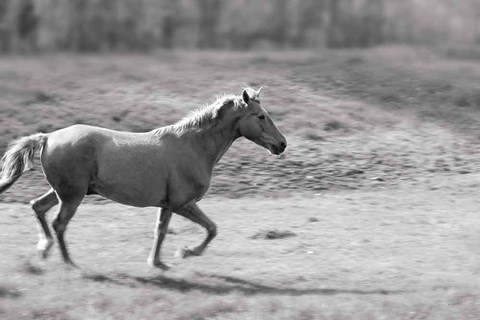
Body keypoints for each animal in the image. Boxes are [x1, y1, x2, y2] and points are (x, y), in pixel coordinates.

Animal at [0, 87, 284, 270]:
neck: (193, 146)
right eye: (261, 116)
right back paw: (69, 262)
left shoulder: (167, 205)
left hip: (65, 192)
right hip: (72, 196)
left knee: (38, 207)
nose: (282, 144)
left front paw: (157, 262)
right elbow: (211, 228)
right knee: (59, 223)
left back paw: (44, 249)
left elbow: (161, 231)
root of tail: (47, 137)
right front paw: (186, 252)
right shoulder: (182, 203)